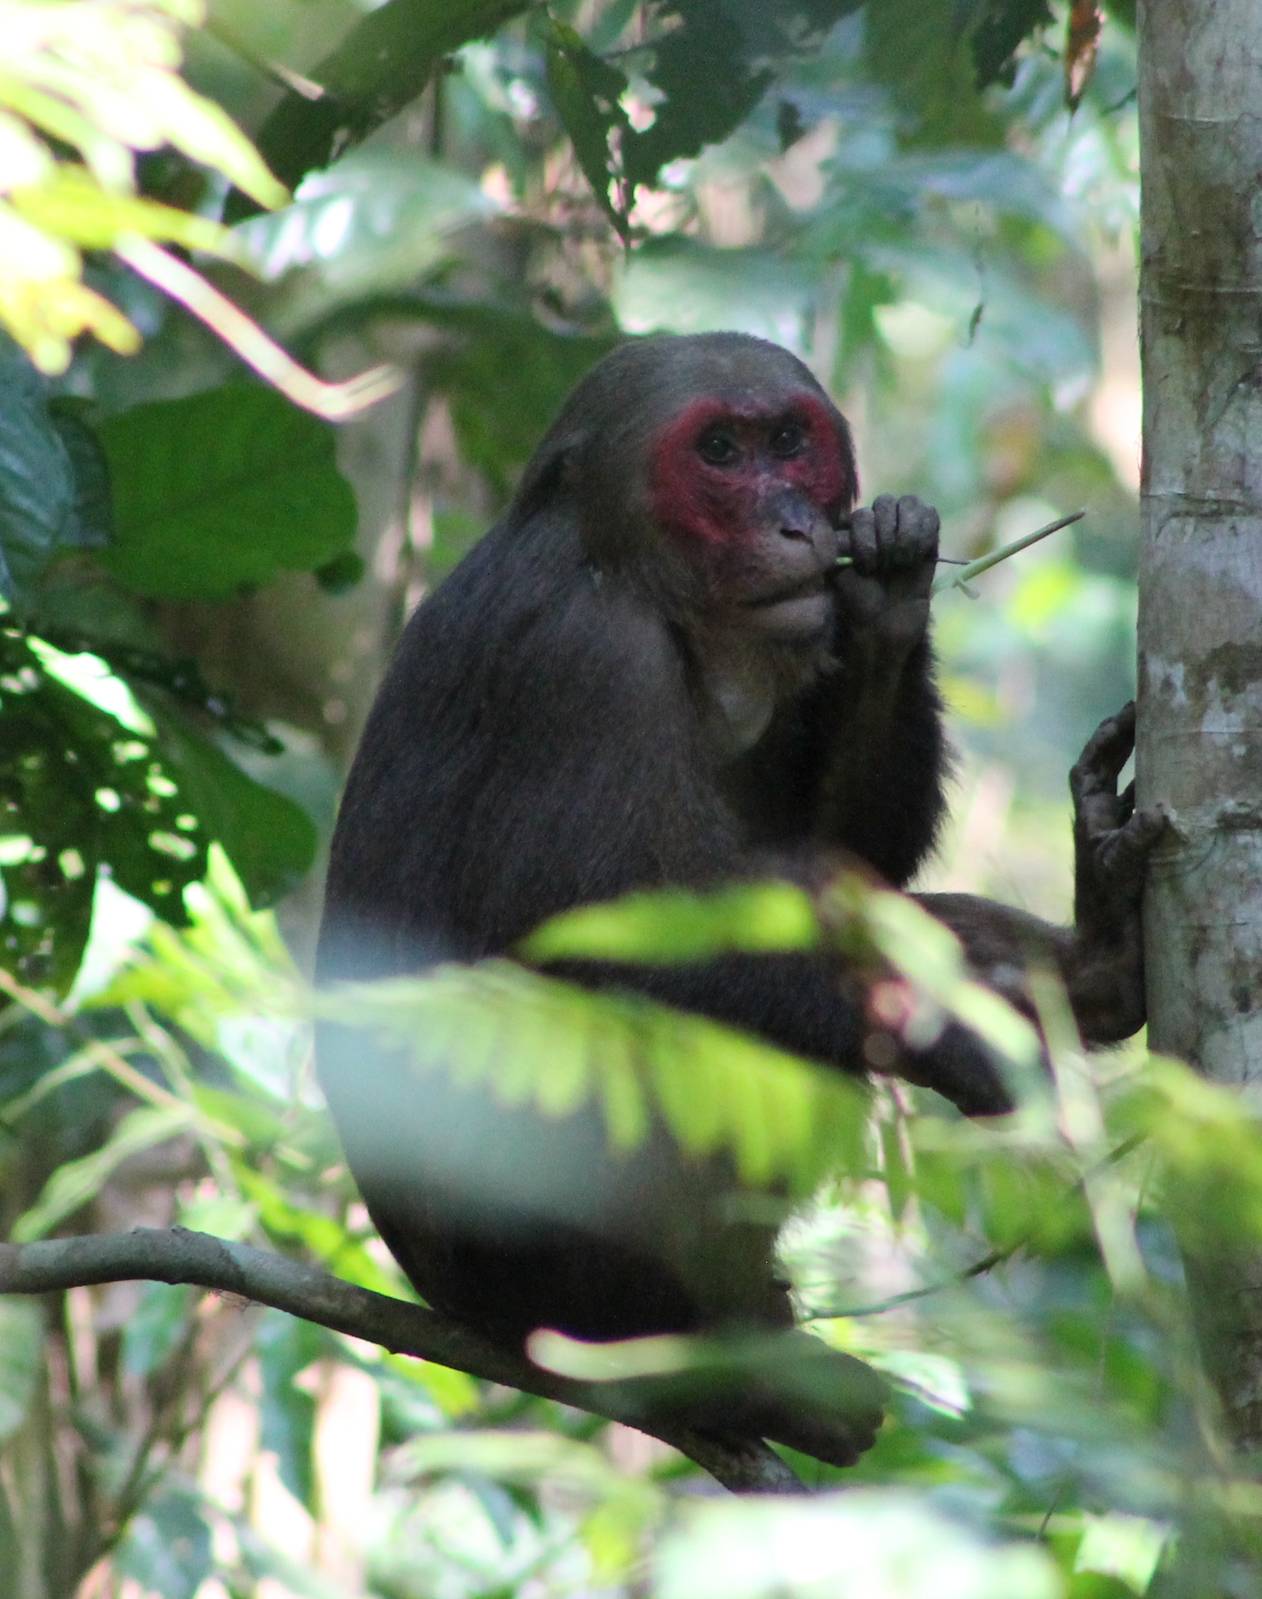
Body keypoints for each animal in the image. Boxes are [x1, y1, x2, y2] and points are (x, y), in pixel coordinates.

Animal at [316, 332, 1162, 1466]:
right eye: (719, 451)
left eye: (788, 443)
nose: (794, 523)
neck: (638, 572)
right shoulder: (581, 661)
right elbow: (599, 948)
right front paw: (947, 1037)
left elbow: (844, 851)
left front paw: (889, 600)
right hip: (530, 1271)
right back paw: (701, 1364)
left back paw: (1097, 968)